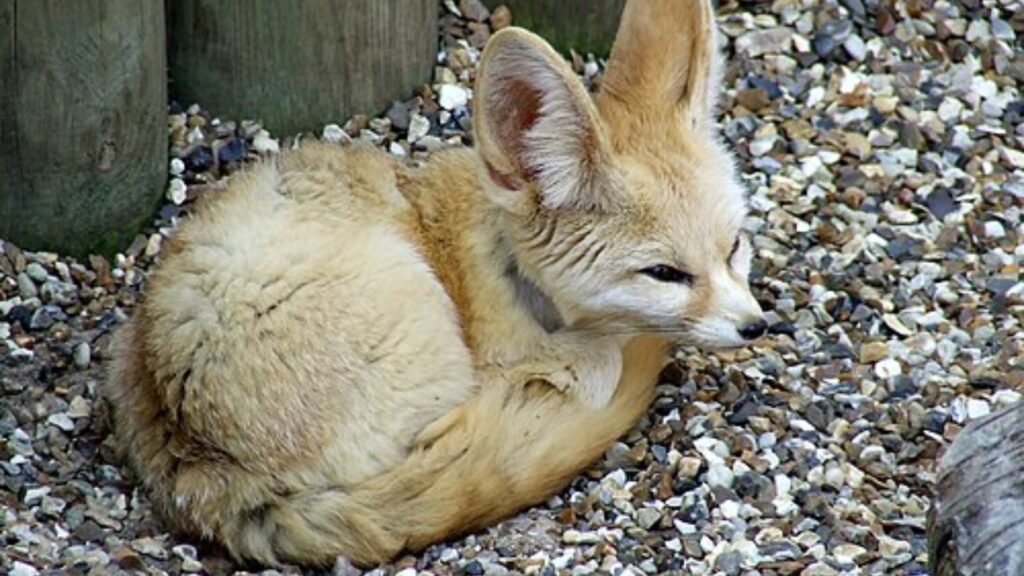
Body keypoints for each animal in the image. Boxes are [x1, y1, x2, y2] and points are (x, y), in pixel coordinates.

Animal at [105, 0, 765, 568]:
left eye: (734, 246)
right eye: (666, 274)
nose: (758, 326)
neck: (505, 269)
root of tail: (197, 465)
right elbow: (594, 365)